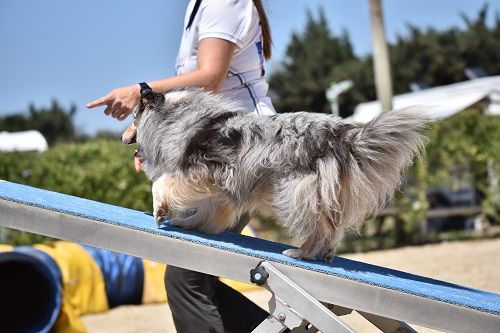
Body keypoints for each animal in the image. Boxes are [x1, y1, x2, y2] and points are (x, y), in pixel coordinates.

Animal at [123, 89, 428, 260]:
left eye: (133, 117)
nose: (123, 138)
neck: (174, 118)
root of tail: (343, 135)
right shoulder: (222, 190)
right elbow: (206, 212)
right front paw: (187, 224)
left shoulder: (199, 172)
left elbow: (161, 185)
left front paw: (161, 211)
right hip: (323, 192)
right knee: (333, 227)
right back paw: (326, 253)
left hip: (295, 192)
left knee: (319, 227)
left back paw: (301, 253)